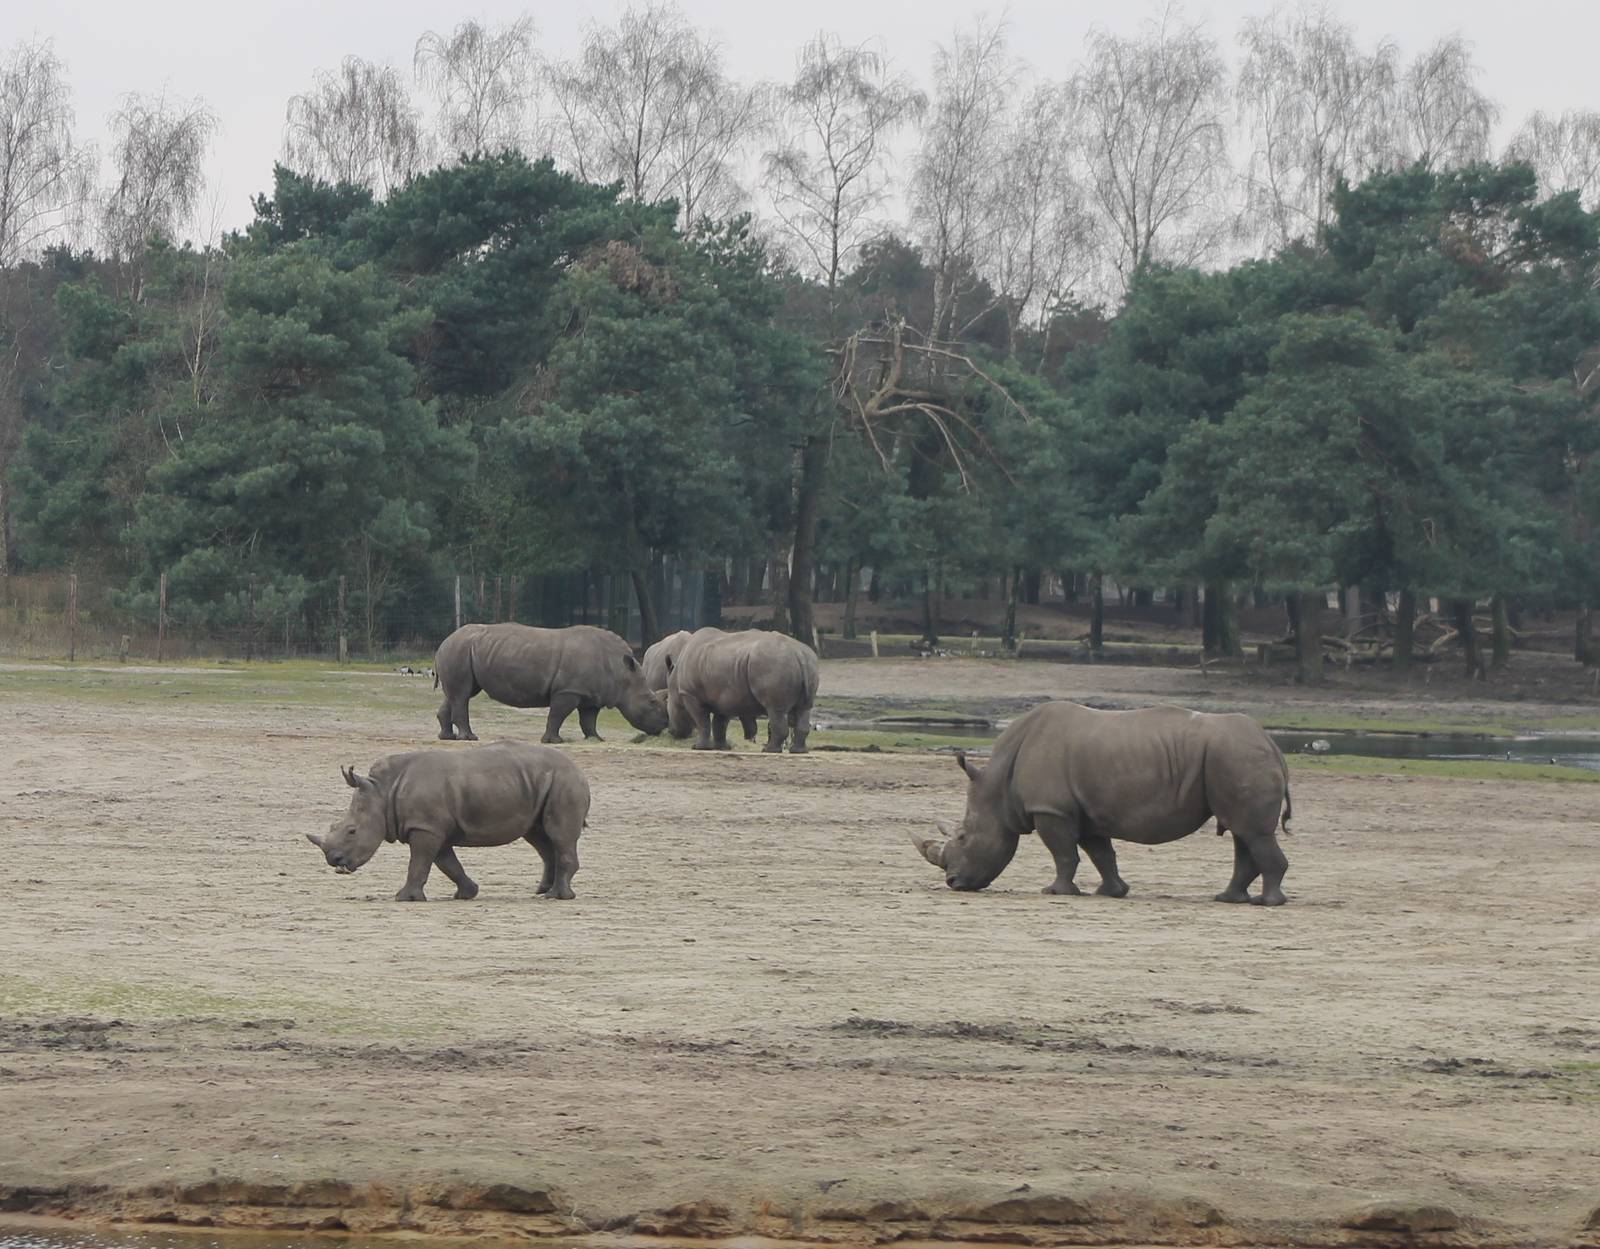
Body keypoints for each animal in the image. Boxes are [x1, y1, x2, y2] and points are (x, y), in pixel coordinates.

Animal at [306, 740, 590, 901]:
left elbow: (419, 862)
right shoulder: (433, 827)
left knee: (558, 835)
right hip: (538, 783)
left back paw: (556, 897)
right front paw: (467, 894)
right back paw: (541, 891)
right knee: (538, 836)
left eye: (352, 831)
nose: (334, 860)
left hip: (564, 782)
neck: (382, 791)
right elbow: (447, 864)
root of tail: (579, 769)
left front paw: (404, 898)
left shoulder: (425, 826)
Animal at [433, 623, 668, 743]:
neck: (621, 673)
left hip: (464, 649)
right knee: (462, 694)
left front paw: (597, 739)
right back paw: (469, 738)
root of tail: (442, 643)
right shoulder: (568, 690)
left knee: (458, 694)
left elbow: (589, 719)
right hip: (459, 649)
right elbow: (557, 715)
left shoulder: (590, 694)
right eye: (651, 701)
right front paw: (554, 741)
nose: (663, 726)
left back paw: (448, 737)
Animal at [665, 626, 819, 753]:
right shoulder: (724, 697)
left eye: (668, 705)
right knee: (804, 708)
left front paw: (699, 748)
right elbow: (720, 723)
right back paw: (799, 751)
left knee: (775, 710)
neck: (675, 679)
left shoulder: (689, 693)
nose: (672, 732)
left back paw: (769, 750)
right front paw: (722, 748)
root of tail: (799, 654)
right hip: (808, 664)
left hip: (774, 664)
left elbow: (702, 721)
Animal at [910, 702, 1293, 904]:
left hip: (1237, 756)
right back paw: (1228, 899)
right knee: (1242, 832)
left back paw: (1268, 902)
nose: (953, 882)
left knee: (1252, 833)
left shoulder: (1051, 809)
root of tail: (1272, 744)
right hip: (1235, 757)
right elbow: (1100, 853)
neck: (998, 785)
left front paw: (1056, 892)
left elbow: (1064, 853)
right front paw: (1112, 892)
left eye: (964, 837)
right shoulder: (1083, 810)